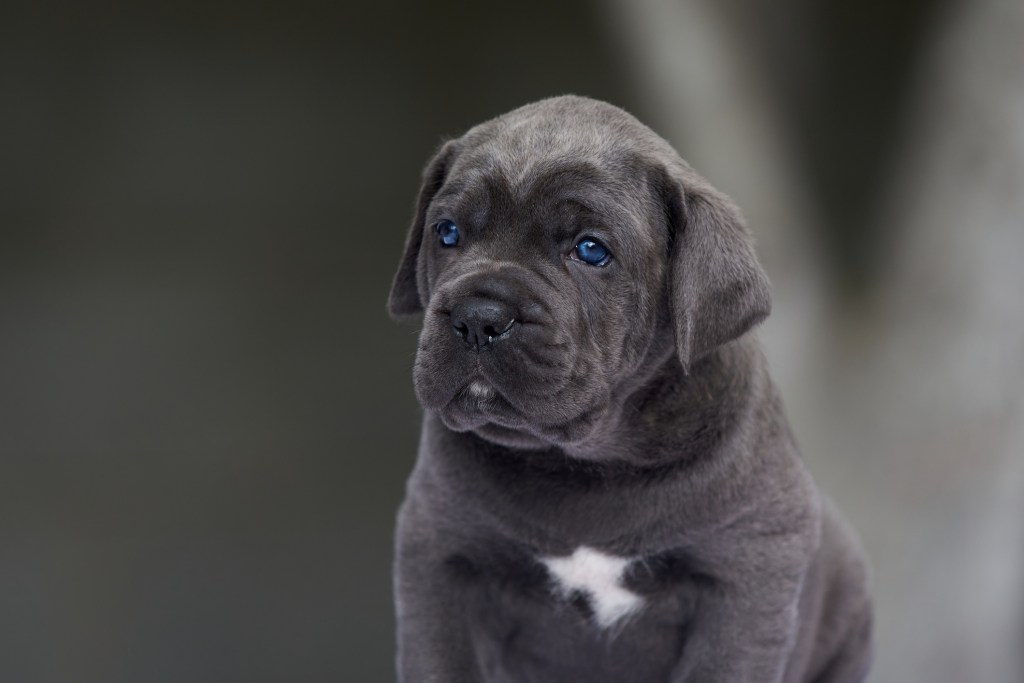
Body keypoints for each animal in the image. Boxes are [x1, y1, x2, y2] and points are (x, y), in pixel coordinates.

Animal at [387, 96, 868, 683]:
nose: (480, 317)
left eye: (591, 250)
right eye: (448, 233)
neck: (589, 464)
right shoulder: (440, 556)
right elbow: (442, 661)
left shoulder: (747, 576)